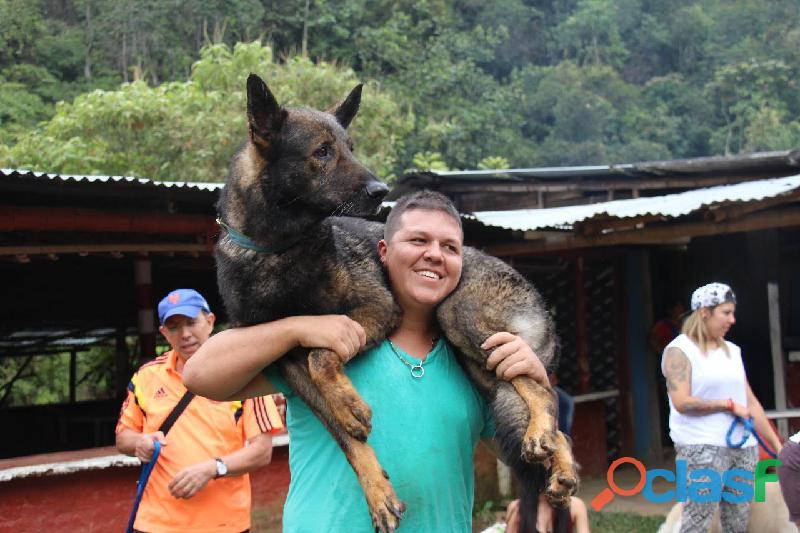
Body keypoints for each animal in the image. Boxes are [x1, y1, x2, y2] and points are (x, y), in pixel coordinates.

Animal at [212, 75, 576, 532]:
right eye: (322, 151)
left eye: (350, 146)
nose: (381, 190)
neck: (278, 250)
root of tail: (541, 303)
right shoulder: (284, 361)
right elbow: (344, 434)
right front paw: (377, 490)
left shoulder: (378, 307)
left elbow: (321, 353)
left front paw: (349, 403)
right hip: (483, 370)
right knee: (549, 412)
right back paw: (561, 468)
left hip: (463, 320)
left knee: (540, 390)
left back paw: (542, 435)